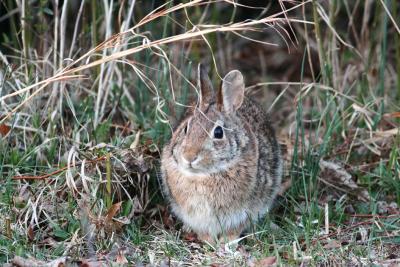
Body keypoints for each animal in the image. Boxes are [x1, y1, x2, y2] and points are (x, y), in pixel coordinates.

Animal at [159, 63, 282, 244]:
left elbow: (235, 228)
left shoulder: (245, 211)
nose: (189, 157)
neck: (203, 176)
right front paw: (209, 242)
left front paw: (226, 242)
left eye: (218, 132)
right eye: (186, 128)